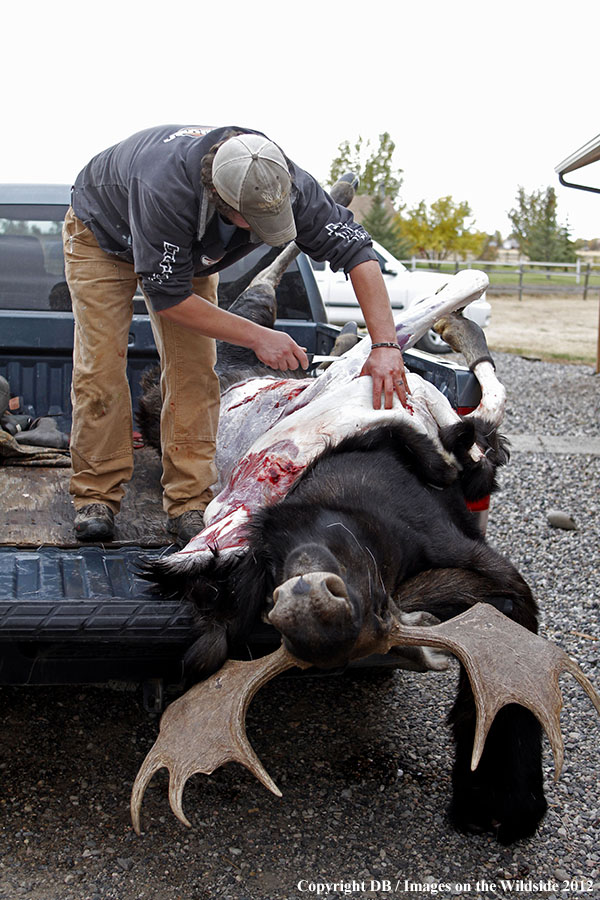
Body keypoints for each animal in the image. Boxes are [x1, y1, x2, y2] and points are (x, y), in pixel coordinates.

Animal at [131, 181, 600, 844]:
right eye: (270, 605)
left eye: (378, 606)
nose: (310, 607)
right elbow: (455, 304)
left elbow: (469, 399)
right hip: (239, 357)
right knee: (250, 294)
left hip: (238, 349)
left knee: (254, 294)